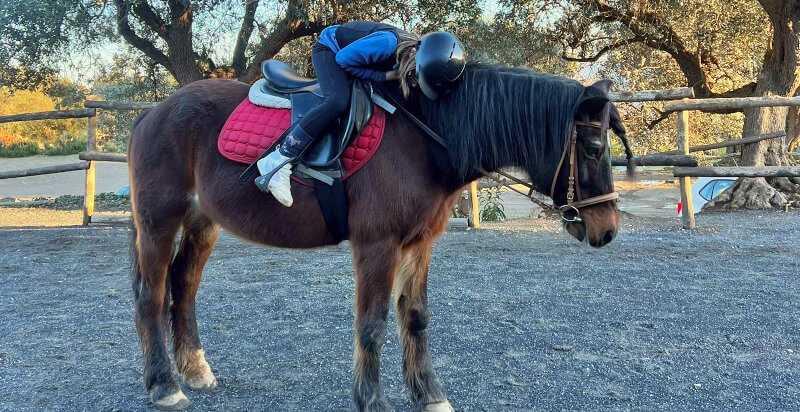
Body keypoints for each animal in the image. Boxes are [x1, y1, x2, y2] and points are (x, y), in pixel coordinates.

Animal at [127, 62, 633, 411]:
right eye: (593, 147)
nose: (607, 230)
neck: (426, 137)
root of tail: (153, 114)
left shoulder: (419, 244)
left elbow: (416, 318)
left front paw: (429, 394)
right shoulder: (377, 246)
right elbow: (372, 325)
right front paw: (371, 399)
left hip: (202, 223)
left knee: (183, 287)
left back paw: (194, 369)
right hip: (158, 222)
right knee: (151, 295)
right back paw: (164, 386)